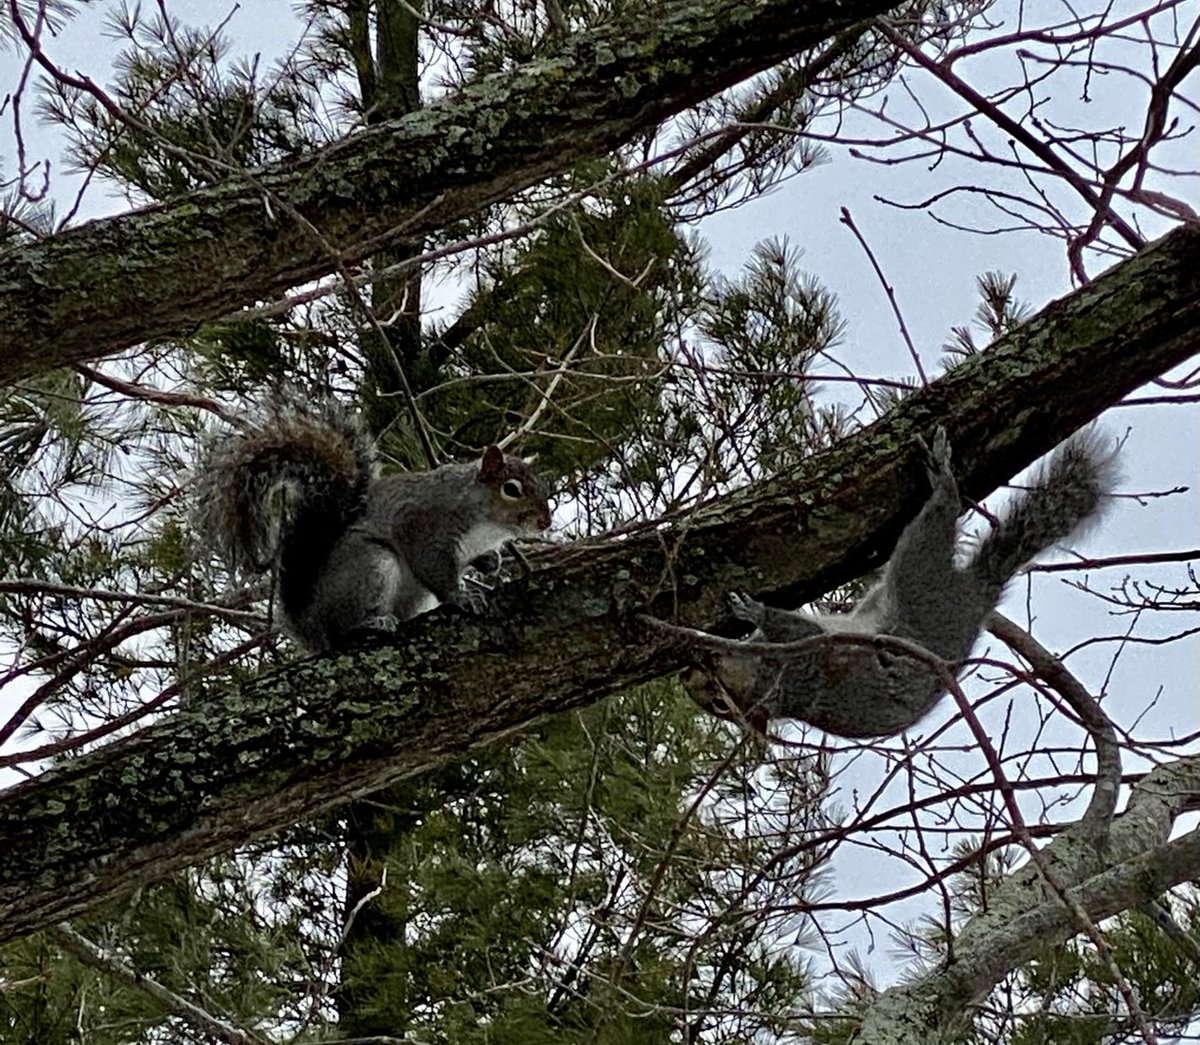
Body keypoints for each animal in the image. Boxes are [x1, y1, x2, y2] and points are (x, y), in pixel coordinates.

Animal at [195, 396, 552, 652]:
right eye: (511, 489)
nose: (545, 521)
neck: (486, 524)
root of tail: (314, 627)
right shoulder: (425, 525)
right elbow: (434, 568)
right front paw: (460, 596)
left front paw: (491, 562)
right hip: (372, 565)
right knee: (346, 627)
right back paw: (371, 624)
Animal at [681, 428, 1118, 738]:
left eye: (719, 701)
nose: (687, 674)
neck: (769, 680)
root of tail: (976, 596)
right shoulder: (802, 660)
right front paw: (751, 611)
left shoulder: (801, 656)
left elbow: (797, 630)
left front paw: (752, 611)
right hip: (918, 574)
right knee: (936, 522)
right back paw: (944, 486)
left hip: (913, 577)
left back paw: (942, 482)